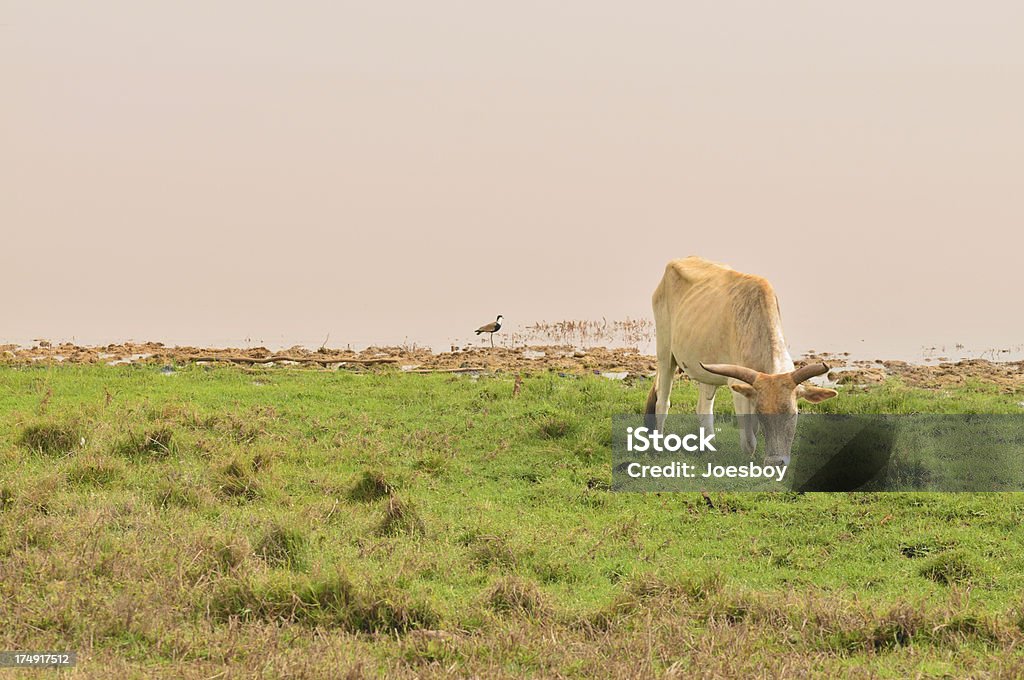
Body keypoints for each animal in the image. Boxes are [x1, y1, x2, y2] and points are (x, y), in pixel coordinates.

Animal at [643, 256, 835, 466]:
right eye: (762, 414)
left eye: (793, 413)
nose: (776, 462)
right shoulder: (739, 390)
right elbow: (749, 441)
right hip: (665, 353)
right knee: (662, 403)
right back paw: (658, 447)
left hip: (705, 370)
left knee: (703, 409)